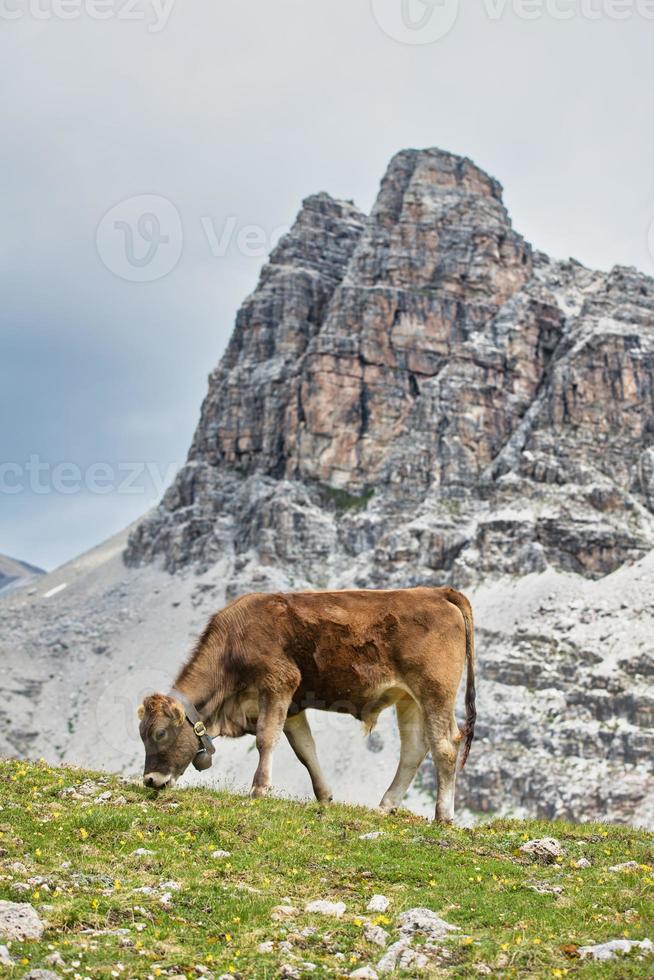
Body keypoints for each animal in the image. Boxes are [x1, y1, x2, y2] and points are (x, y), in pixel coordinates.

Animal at [138, 584, 476, 824]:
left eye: (160, 734)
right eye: (142, 734)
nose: (150, 780)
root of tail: (436, 592)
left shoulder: (278, 684)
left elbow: (266, 739)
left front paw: (259, 789)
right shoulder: (293, 708)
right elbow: (305, 750)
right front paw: (324, 797)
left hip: (435, 691)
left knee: (445, 746)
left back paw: (443, 816)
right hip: (409, 700)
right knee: (414, 749)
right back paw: (385, 805)